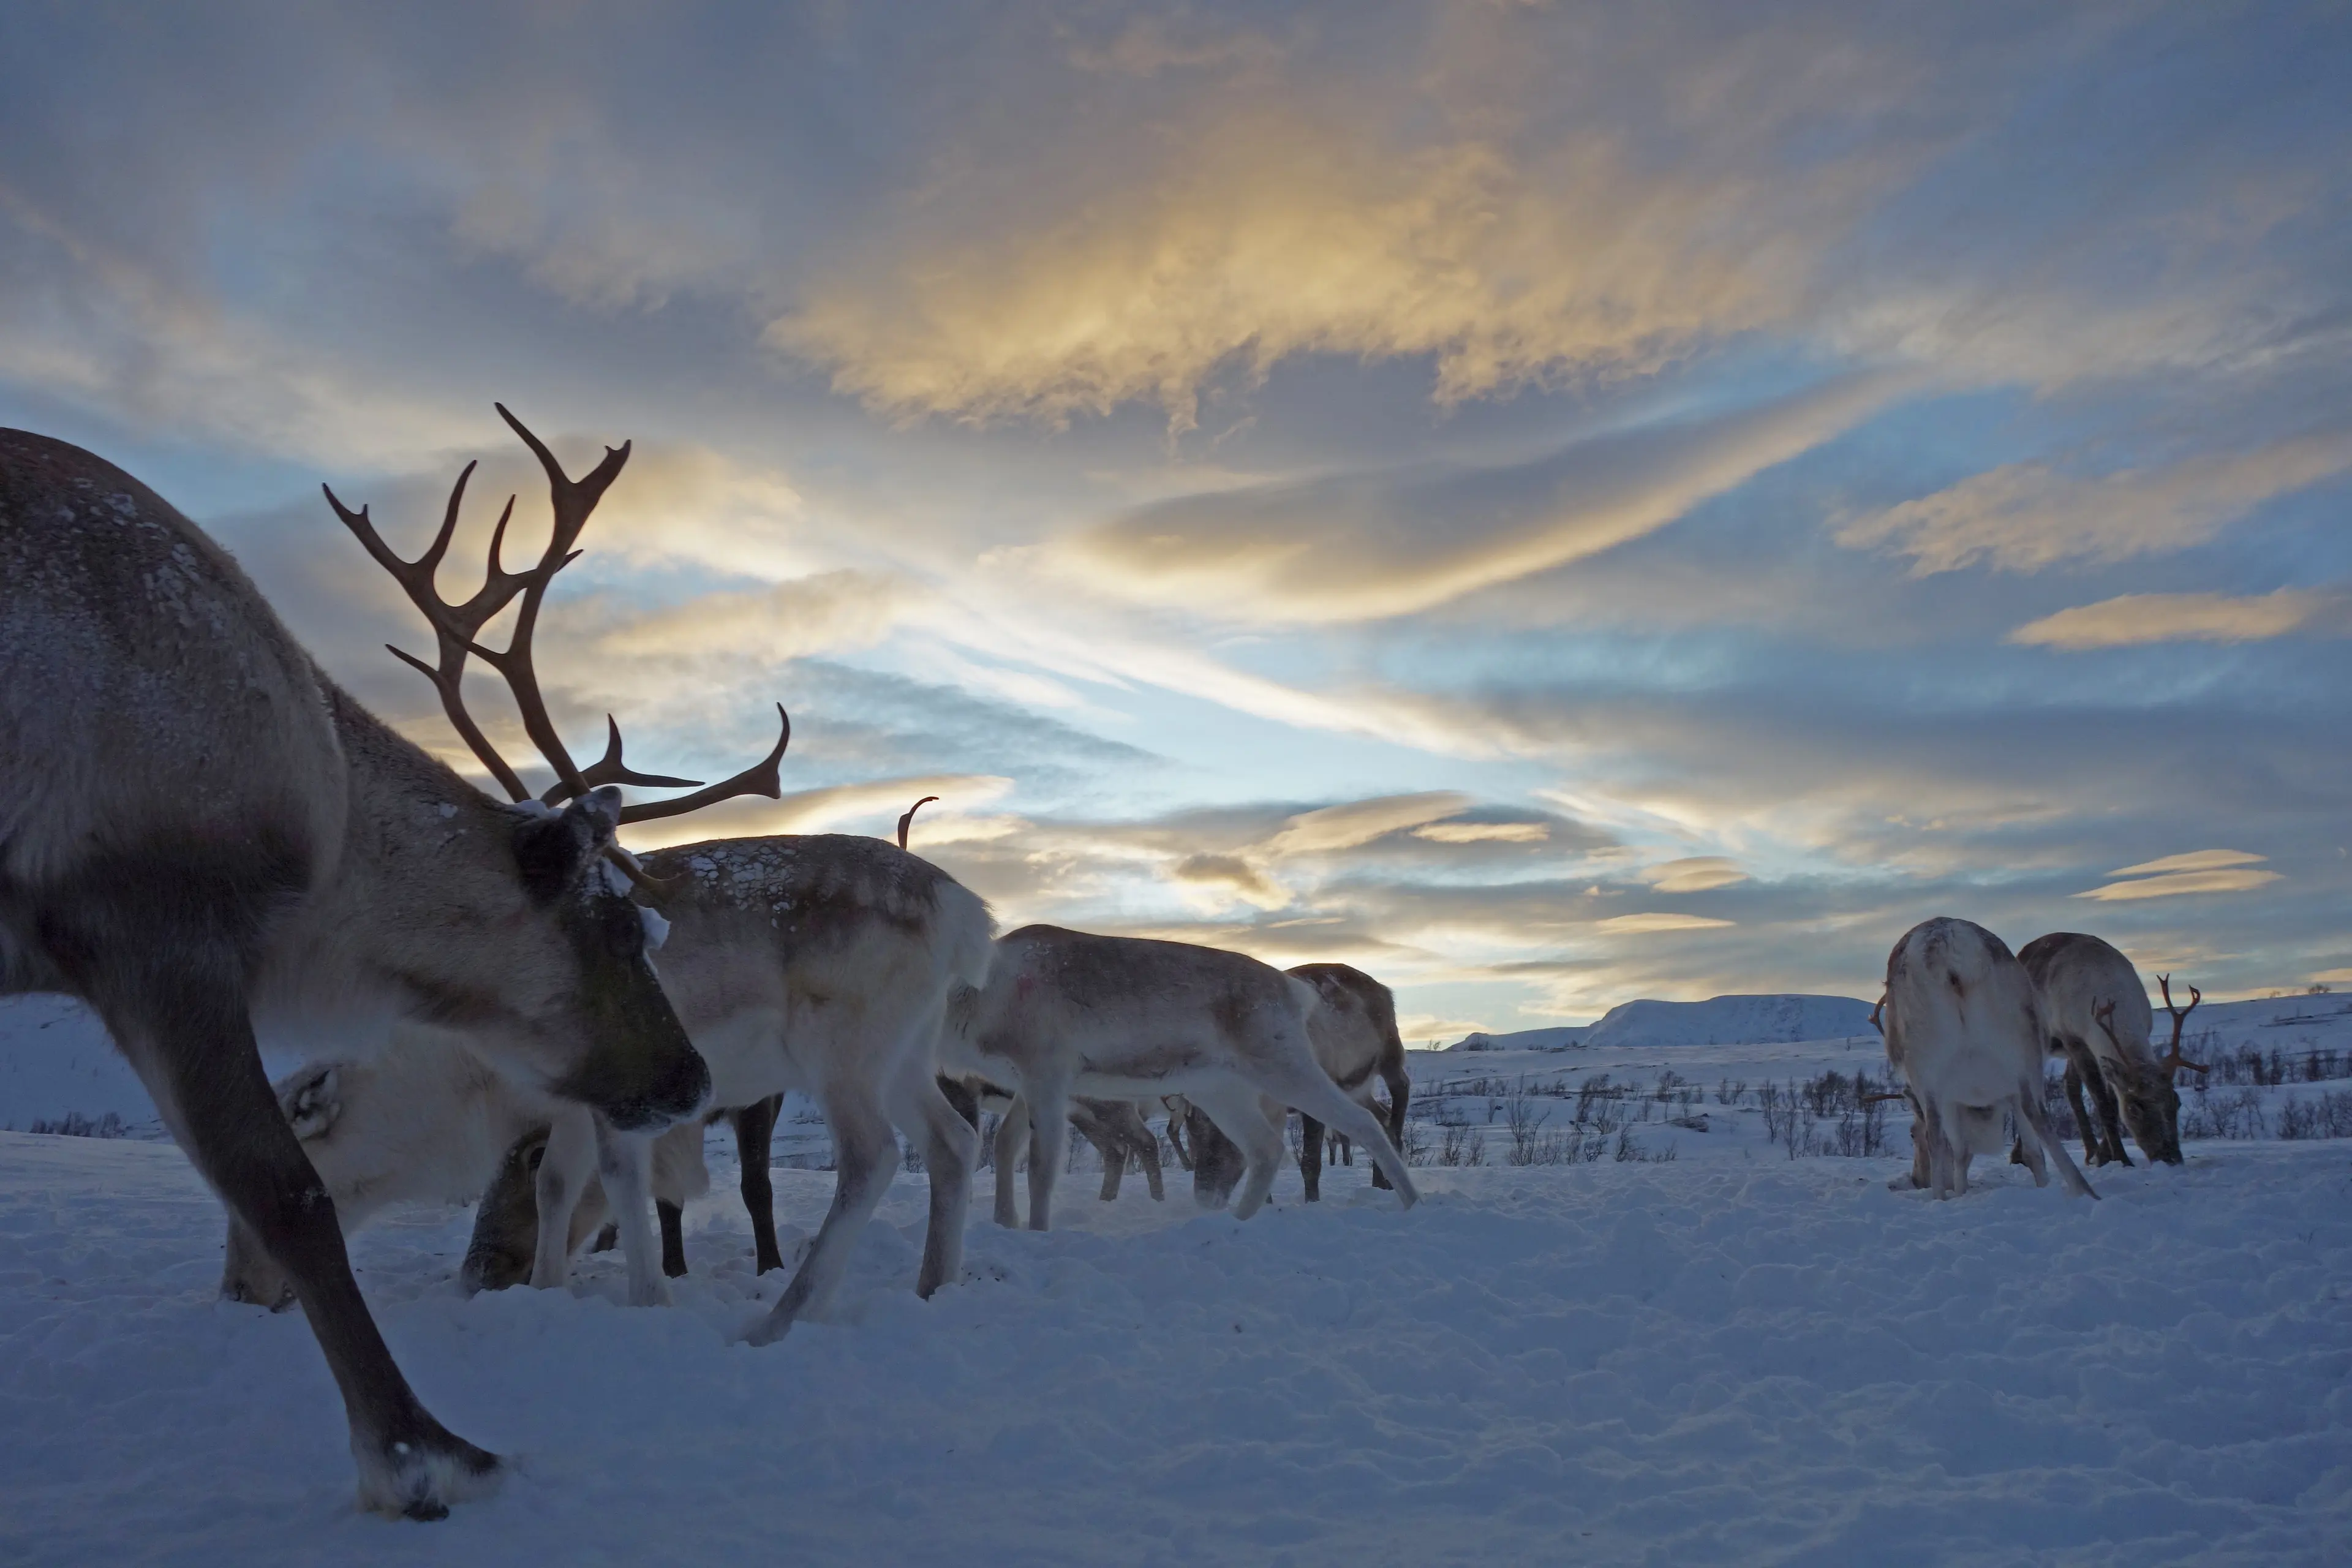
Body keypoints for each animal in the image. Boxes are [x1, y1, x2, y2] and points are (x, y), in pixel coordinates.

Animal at [940, 926, 1419, 1230]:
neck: (982, 996)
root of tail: (1294, 990)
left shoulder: (1047, 1075)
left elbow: (1041, 1166)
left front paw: (1035, 1231)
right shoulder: (1025, 1084)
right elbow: (1007, 1146)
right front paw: (1007, 1222)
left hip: (1286, 1068)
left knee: (1365, 1123)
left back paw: (1414, 1201)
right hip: (1220, 1092)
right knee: (1265, 1148)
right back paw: (1236, 1222)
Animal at [1879, 918, 2096, 1201]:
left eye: (1911, 1134)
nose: (1916, 1180)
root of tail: (1945, 944)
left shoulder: (1952, 1099)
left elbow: (1959, 1153)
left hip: (1933, 1073)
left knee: (1937, 1136)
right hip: (2021, 1056)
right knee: (2036, 1116)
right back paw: (2084, 1191)